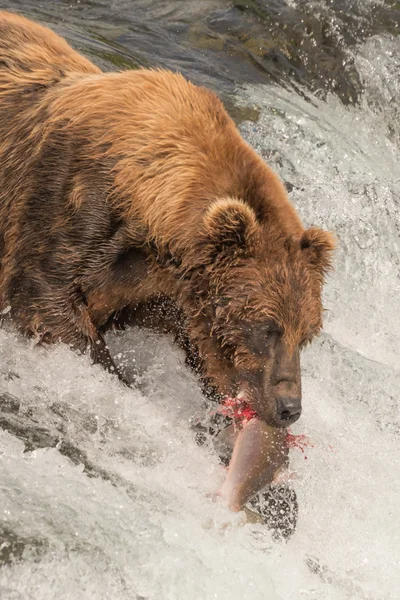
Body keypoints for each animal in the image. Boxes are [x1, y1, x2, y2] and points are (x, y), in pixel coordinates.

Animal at [0, 11, 334, 428]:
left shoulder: (161, 289)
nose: (289, 408)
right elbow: (45, 299)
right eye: (266, 328)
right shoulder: (68, 201)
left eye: (306, 334)